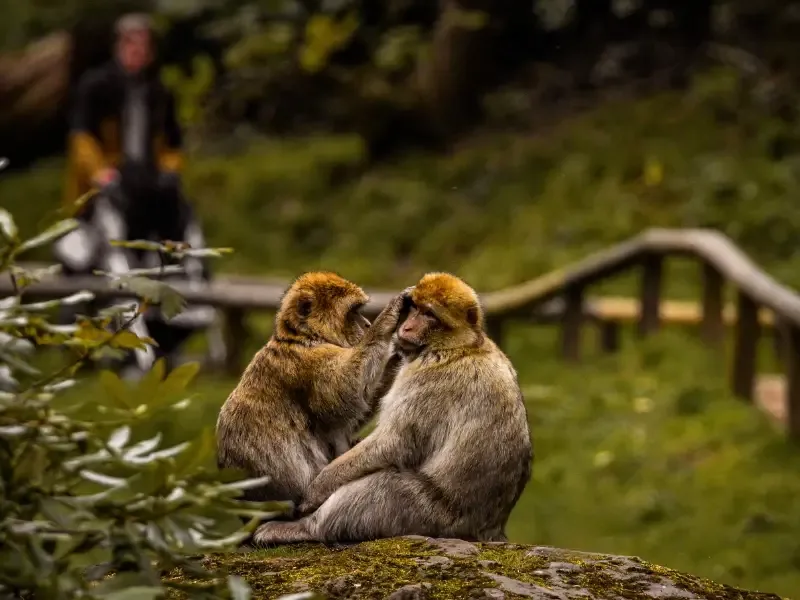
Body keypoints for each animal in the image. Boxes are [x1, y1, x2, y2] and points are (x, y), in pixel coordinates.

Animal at [215, 271, 407, 508]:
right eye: (354, 312)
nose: (367, 323)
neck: (303, 337)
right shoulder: (308, 363)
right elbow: (342, 398)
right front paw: (386, 321)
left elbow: (349, 415)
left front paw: (399, 356)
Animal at [251, 272, 533, 546]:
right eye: (416, 309)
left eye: (429, 314)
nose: (406, 327)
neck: (461, 345)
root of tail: (489, 530)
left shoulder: (427, 380)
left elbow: (394, 442)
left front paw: (317, 488)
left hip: (430, 515)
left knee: (383, 486)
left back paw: (305, 528)